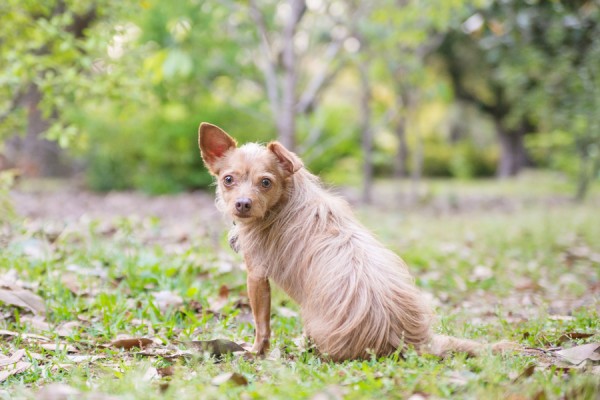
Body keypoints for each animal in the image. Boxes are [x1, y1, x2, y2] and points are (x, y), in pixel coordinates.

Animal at [198, 122, 516, 362]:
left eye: (266, 183)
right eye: (228, 179)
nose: (242, 204)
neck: (286, 199)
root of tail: (414, 344)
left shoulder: (256, 276)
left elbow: (261, 324)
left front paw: (255, 352)